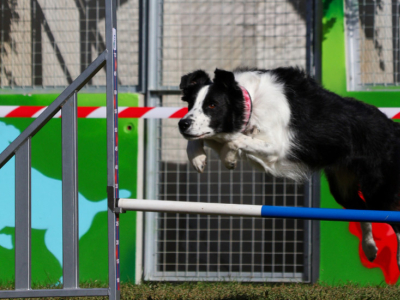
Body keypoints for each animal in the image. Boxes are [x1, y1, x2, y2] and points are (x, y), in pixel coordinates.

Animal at [178, 67, 400, 270]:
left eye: (212, 105)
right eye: (190, 103)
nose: (183, 124)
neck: (249, 103)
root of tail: (392, 128)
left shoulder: (277, 147)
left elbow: (235, 140)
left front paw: (228, 157)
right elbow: (203, 139)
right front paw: (199, 158)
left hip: (378, 190)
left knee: (390, 216)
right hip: (343, 188)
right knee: (362, 210)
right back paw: (370, 249)